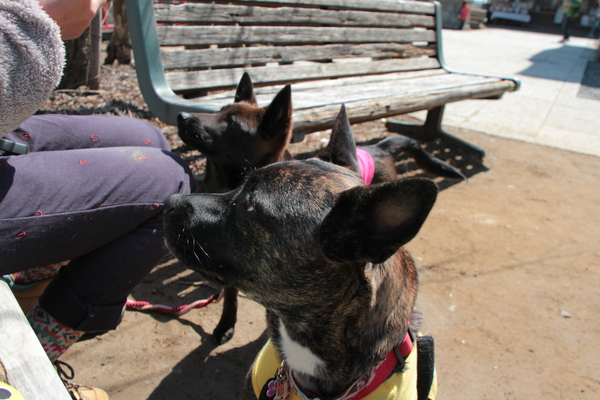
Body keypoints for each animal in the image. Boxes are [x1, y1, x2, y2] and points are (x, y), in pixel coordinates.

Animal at [176, 73, 462, 342]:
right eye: (220, 110)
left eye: (232, 123)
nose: (181, 116)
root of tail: (379, 146)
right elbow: (230, 293)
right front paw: (226, 324)